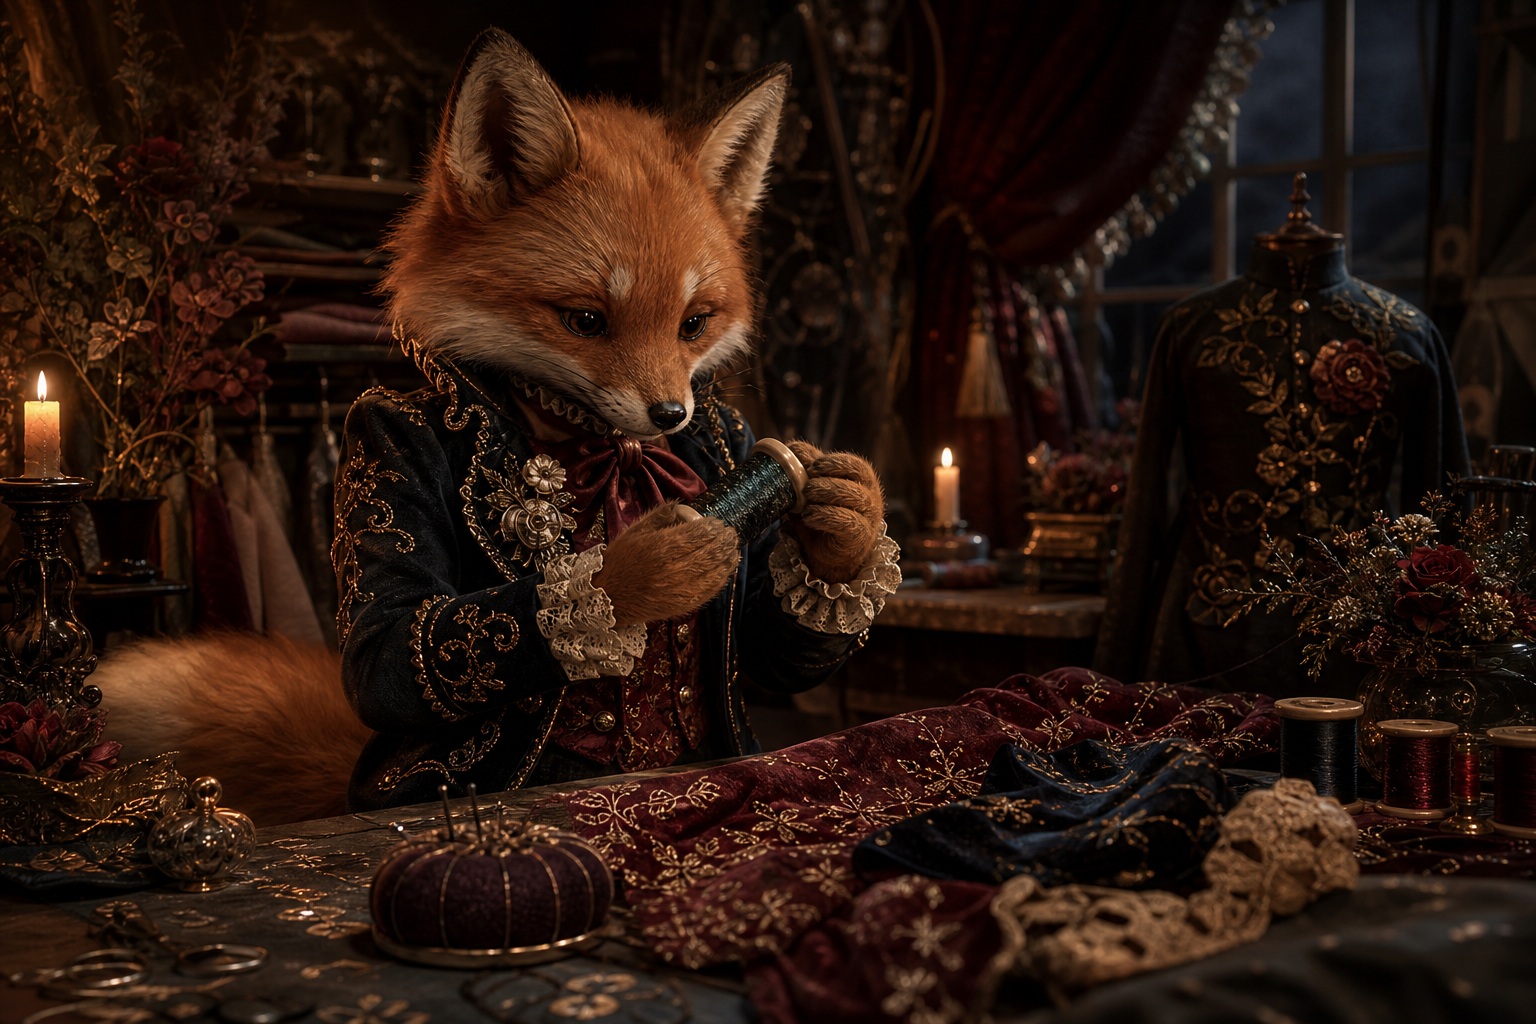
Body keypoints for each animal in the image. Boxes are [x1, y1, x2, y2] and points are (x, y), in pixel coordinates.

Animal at [93, 29, 892, 824]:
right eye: (586, 320)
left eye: (692, 324)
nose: (671, 415)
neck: (607, 449)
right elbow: (396, 640)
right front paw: (641, 569)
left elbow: (765, 640)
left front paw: (846, 528)